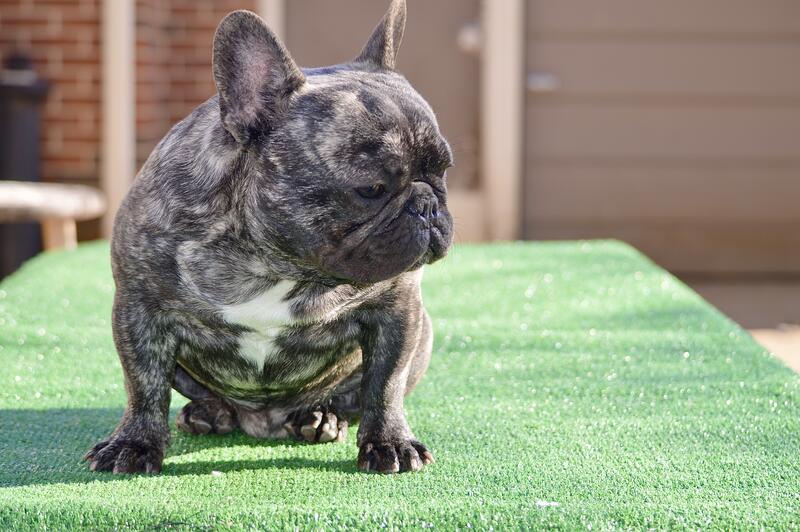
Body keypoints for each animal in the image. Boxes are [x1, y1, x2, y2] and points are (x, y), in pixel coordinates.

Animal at [84, 0, 453, 475]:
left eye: (443, 171)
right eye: (371, 188)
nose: (428, 205)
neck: (273, 261)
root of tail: (263, 424)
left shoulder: (398, 311)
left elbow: (385, 384)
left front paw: (390, 441)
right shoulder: (140, 310)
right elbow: (144, 385)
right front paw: (134, 442)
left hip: (423, 334)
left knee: (350, 397)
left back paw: (320, 417)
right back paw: (209, 413)